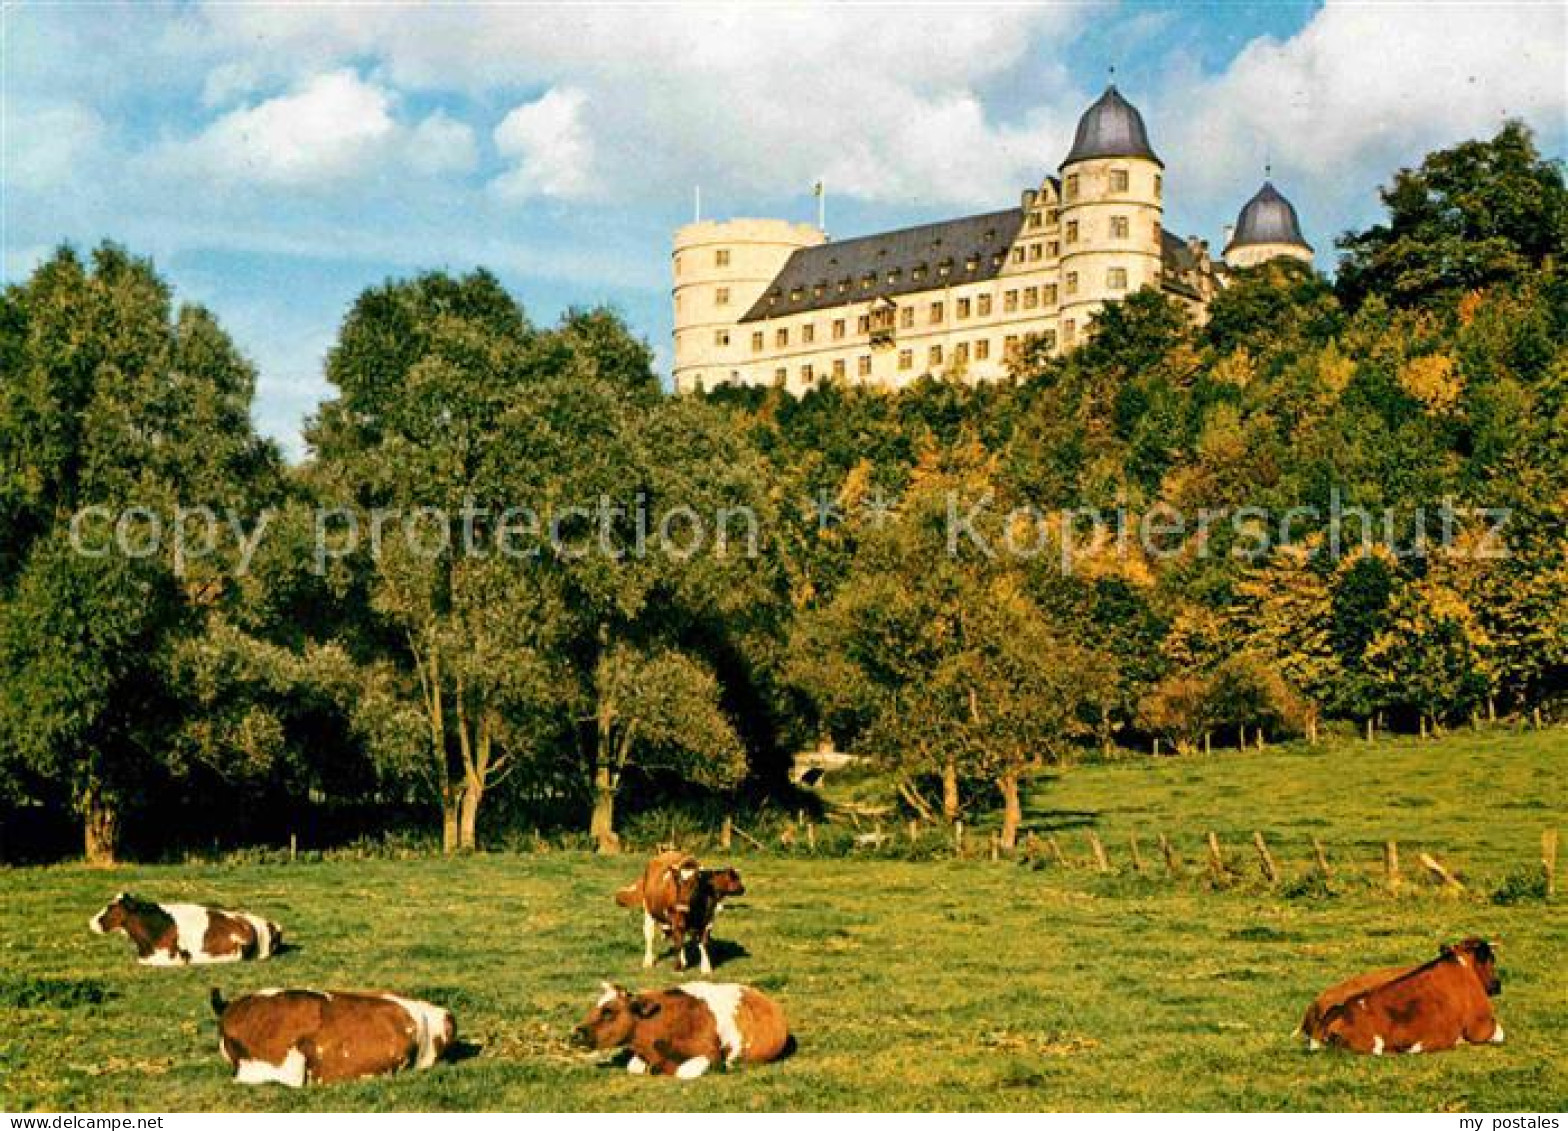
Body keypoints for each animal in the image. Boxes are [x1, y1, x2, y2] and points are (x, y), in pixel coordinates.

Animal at [611, 847, 746, 972]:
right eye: (677, 883)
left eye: (696, 884)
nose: (682, 906)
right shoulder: (676, 918)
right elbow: (678, 942)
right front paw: (678, 967)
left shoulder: (708, 920)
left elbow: (703, 942)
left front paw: (706, 968)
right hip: (648, 910)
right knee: (650, 935)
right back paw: (648, 961)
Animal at [1310, 928, 1505, 1054]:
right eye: (1491, 959)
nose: (1497, 985)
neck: (1463, 965)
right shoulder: (1480, 1026)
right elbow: (1500, 1033)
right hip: (1374, 1046)